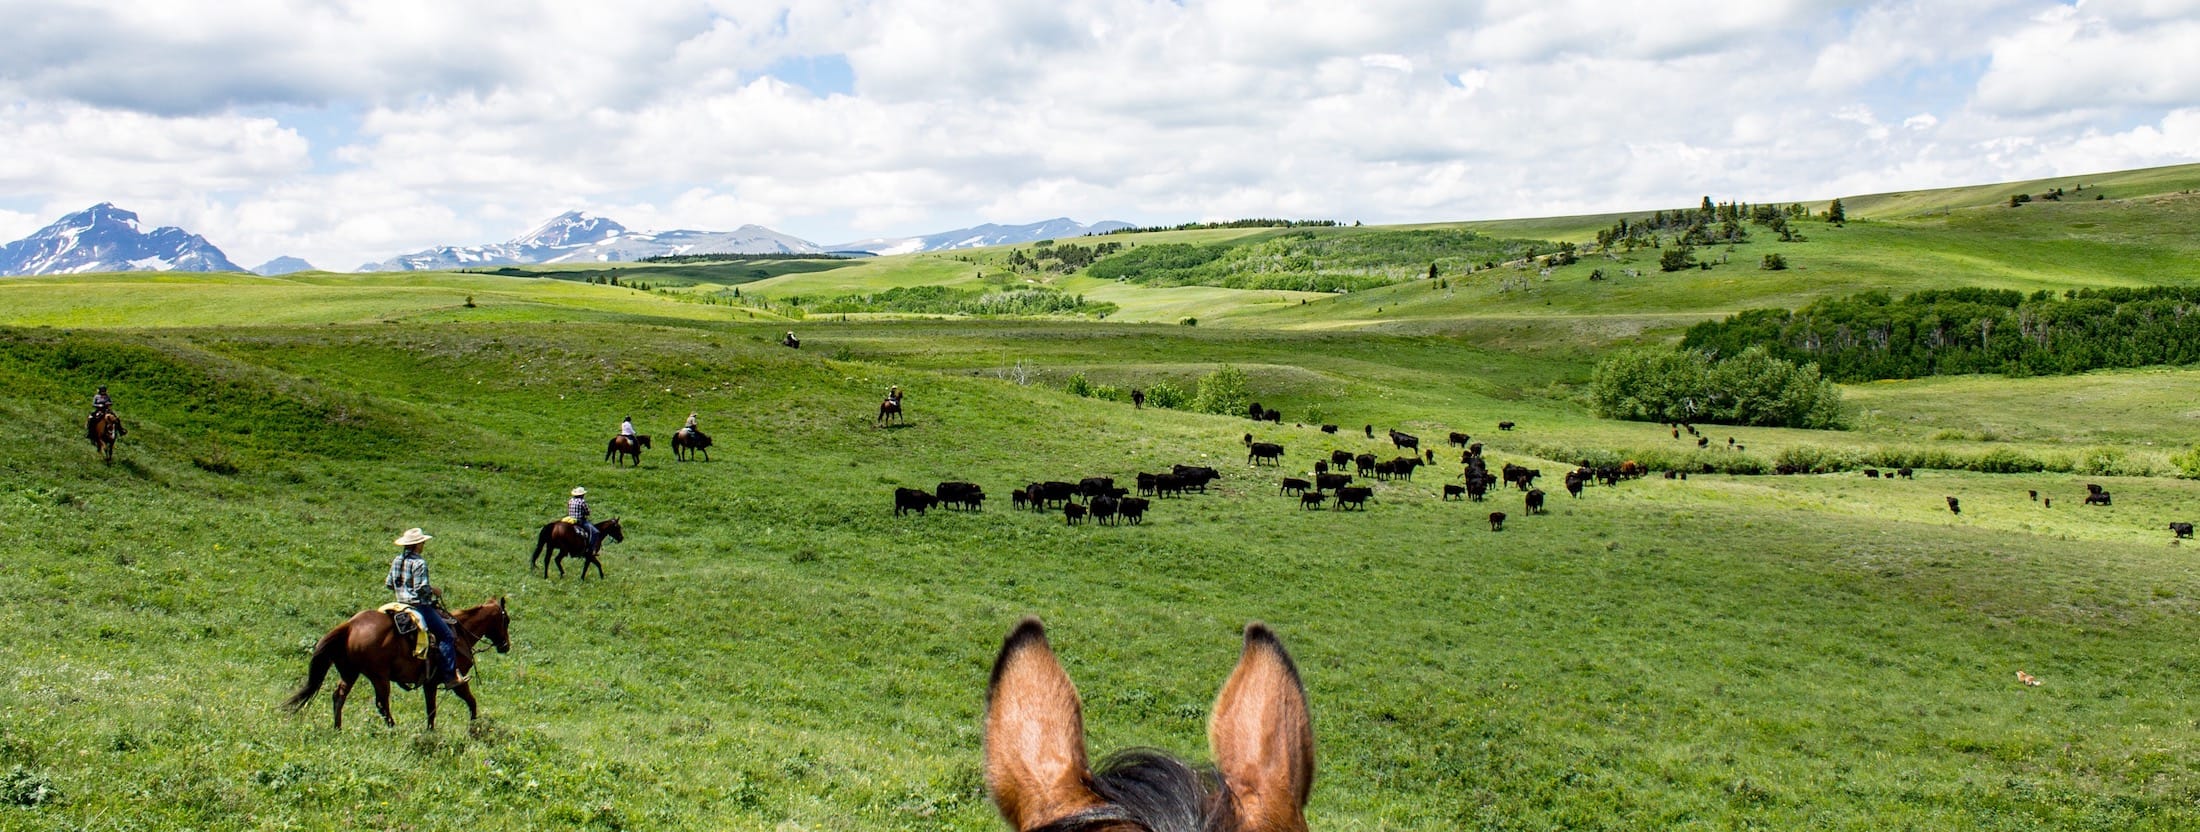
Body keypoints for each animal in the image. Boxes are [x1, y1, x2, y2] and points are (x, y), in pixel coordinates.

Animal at [279, 598, 506, 726]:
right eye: (507, 620)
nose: (506, 646)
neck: (461, 634)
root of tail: (350, 625)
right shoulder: (456, 680)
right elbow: (471, 702)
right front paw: (474, 729)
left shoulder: (430, 683)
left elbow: (431, 710)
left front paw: (430, 733)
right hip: (379, 676)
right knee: (382, 703)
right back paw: (393, 728)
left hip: (350, 672)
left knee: (339, 696)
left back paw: (338, 728)